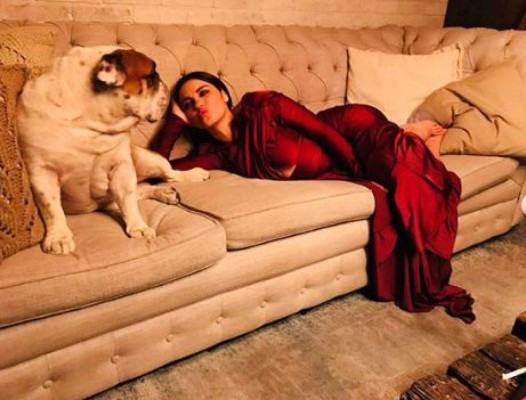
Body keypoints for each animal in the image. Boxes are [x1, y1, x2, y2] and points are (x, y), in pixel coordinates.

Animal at [17, 46, 209, 255]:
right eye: (151, 77)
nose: (165, 85)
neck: (88, 124)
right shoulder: (42, 173)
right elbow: (52, 207)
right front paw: (59, 237)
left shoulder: (121, 166)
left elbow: (128, 199)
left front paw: (139, 227)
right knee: (142, 190)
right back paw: (164, 193)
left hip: (146, 158)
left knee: (169, 175)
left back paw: (190, 176)